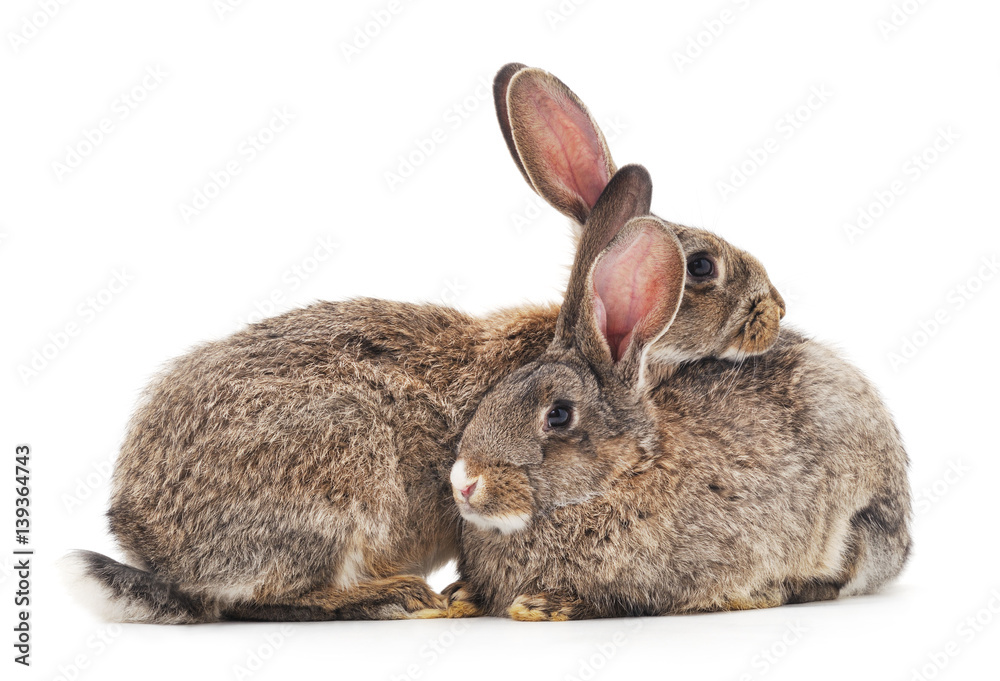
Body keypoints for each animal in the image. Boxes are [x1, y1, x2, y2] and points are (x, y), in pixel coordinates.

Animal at [59, 64, 788, 623]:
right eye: (700, 268)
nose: (775, 311)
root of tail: (151, 541)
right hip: (336, 477)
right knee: (267, 598)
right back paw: (396, 597)